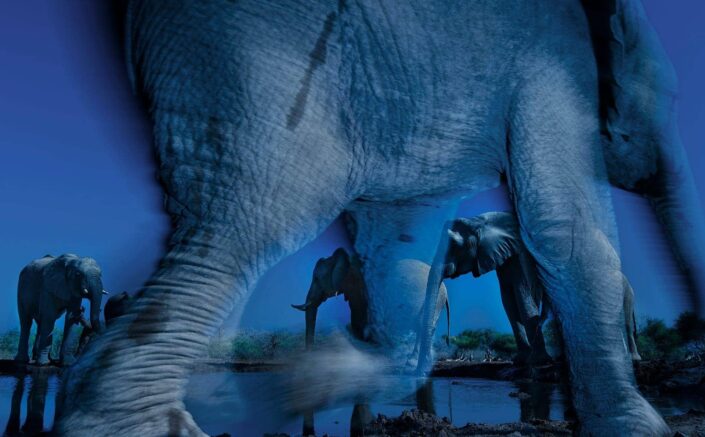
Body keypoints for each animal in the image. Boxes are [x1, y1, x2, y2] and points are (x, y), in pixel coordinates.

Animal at [57, 1, 705, 435]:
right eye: (670, 101)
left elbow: (401, 258)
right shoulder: (556, 61)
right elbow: (566, 227)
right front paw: (641, 430)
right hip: (254, 56)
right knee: (254, 217)